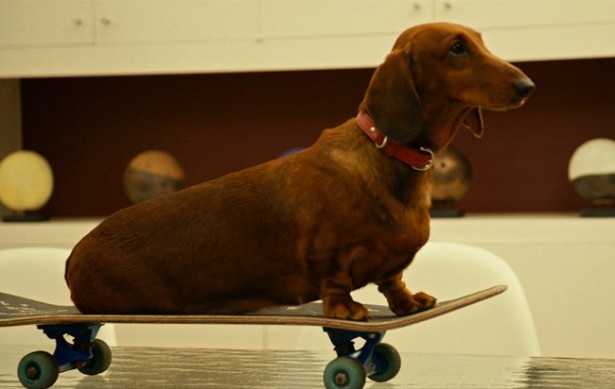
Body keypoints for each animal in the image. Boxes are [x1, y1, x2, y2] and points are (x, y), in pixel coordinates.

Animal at [66, 22, 536, 318]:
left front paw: (408, 302)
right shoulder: (329, 253)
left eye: (480, 41)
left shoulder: (390, 265)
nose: (527, 87)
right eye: (456, 48)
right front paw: (348, 309)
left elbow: (393, 281)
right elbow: (336, 281)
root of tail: (74, 256)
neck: (390, 156)